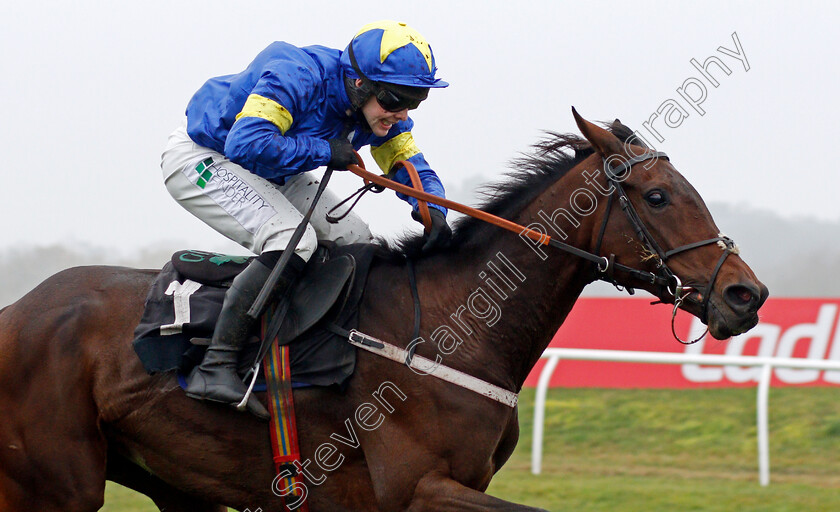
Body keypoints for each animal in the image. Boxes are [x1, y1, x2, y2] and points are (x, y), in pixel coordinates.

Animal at [0, 113, 768, 512]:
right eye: (659, 196)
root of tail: (18, 311)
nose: (746, 295)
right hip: (57, 486)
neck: (455, 326)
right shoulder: (415, 488)